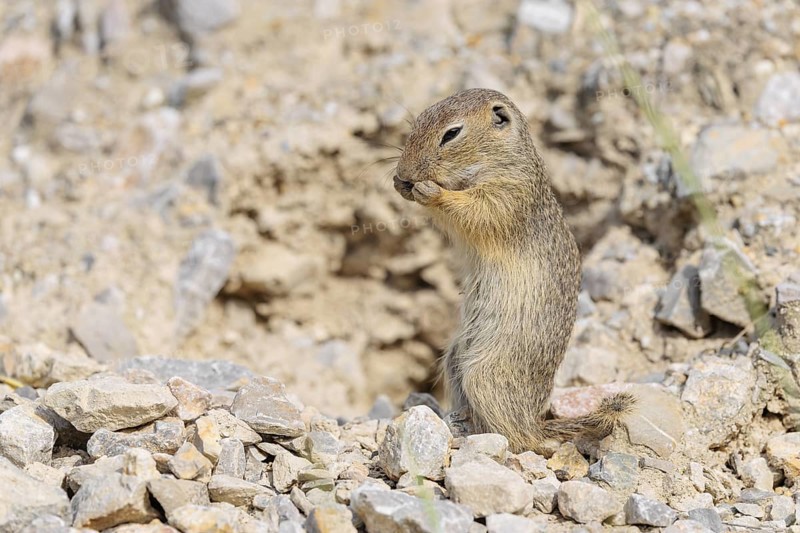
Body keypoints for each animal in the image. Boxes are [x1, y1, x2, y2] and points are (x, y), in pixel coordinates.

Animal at [393, 88, 635, 453]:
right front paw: (400, 184)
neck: (496, 161)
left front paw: (430, 191)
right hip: (454, 359)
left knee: (523, 440)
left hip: (487, 376)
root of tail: (536, 421)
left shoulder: (508, 193)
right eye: (417, 121)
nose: (405, 172)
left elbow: (476, 210)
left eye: (452, 134)